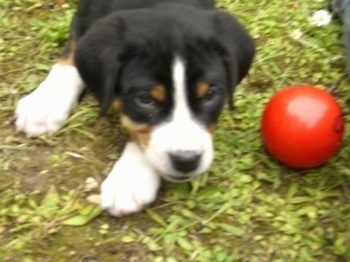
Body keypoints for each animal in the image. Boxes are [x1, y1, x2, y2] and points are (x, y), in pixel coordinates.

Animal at [14, 0, 254, 217]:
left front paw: (130, 178)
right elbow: (73, 50)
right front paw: (47, 101)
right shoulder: (85, 15)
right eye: (145, 99)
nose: (186, 161)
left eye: (210, 95)